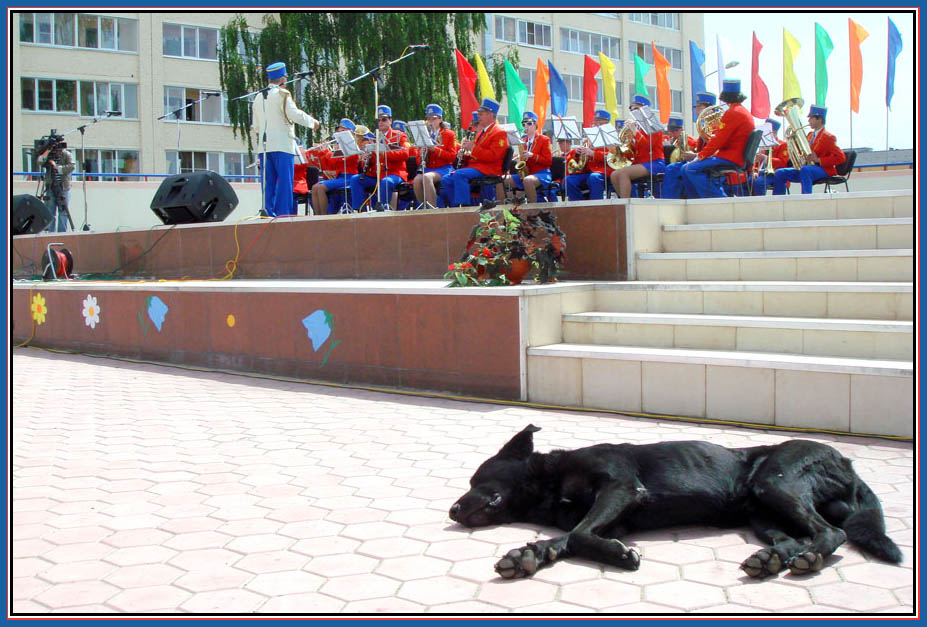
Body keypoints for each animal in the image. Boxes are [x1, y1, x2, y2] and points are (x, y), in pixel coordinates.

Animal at [450, 426, 900, 580]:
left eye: (476, 479)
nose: (451, 511)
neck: (549, 483)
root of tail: (847, 462)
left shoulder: (621, 488)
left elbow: (578, 536)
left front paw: (618, 556)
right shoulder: (611, 518)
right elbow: (569, 537)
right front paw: (529, 554)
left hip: (777, 481)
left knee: (832, 533)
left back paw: (809, 559)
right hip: (762, 515)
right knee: (791, 540)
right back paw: (772, 561)